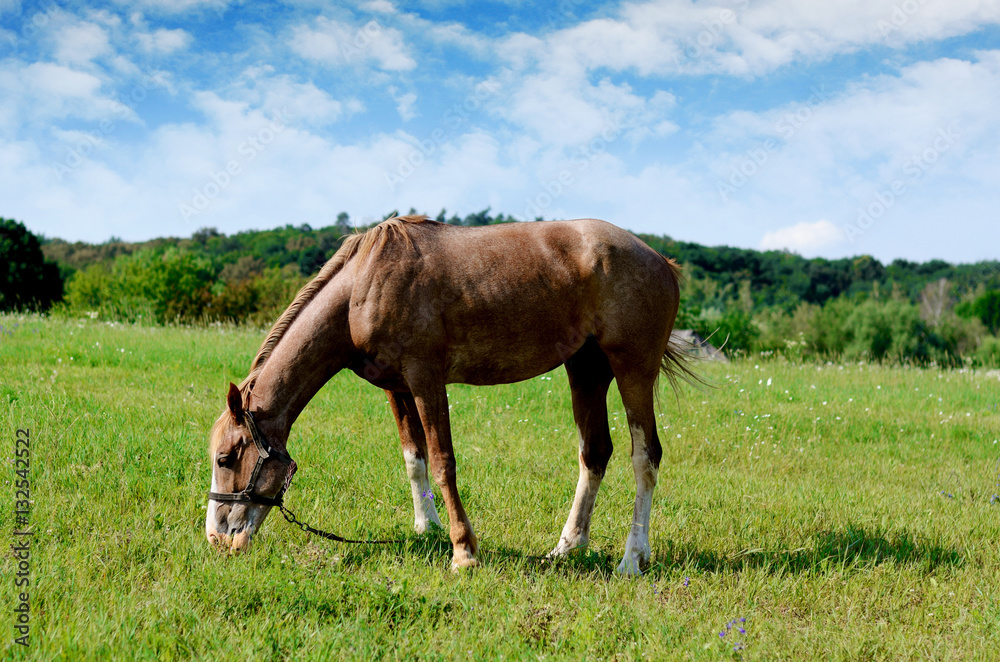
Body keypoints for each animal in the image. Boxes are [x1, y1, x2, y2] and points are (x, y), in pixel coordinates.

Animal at [203, 218, 688, 576]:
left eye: (226, 457)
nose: (217, 538)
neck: (363, 285)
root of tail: (661, 261)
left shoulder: (426, 379)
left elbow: (442, 462)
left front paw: (463, 551)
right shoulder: (397, 387)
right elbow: (414, 458)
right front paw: (427, 528)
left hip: (632, 369)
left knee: (645, 456)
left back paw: (632, 558)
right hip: (586, 370)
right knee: (595, 453)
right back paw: (567, 547)